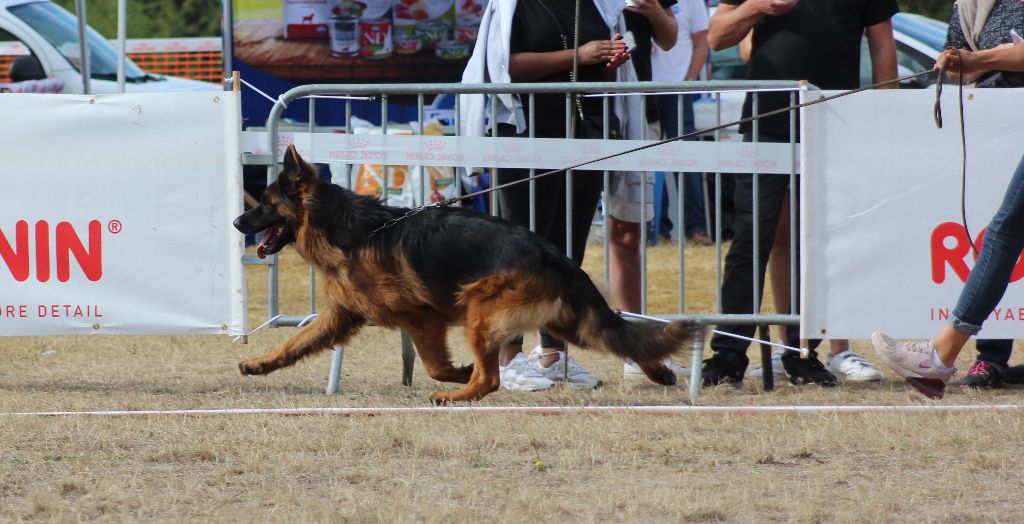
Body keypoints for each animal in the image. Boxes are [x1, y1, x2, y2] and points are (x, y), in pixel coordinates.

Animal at [233, 145, 704, 403]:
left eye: (266, 203)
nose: (237, 222)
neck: (342, 225)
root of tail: (555, 255)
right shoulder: (341, 314)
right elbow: (294, 343)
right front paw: (259, 363)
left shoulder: (421, 319)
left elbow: (436, 365)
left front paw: (457, 374)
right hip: (566, 323)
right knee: (615, 337)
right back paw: (659, 372)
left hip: (480, 309)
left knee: (490, 378)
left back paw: (459, 393)